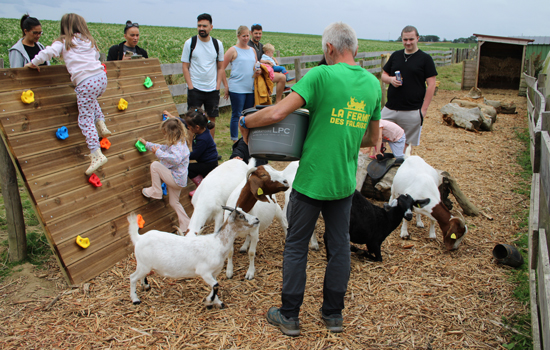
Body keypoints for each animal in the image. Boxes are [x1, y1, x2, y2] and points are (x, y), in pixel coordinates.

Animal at [127, 209, 260, 308]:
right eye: (242, 216)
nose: (257, 219)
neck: (217, 243)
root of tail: (139, 238)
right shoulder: (204, 271)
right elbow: (216, 285)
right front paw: (209, 301)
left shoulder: (214, 272)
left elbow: (215, 285)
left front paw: (217, 302)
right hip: (143, 264)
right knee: (132, 277)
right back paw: (135, 300)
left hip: (145, 265)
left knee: (141, 275)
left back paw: (146, 286)